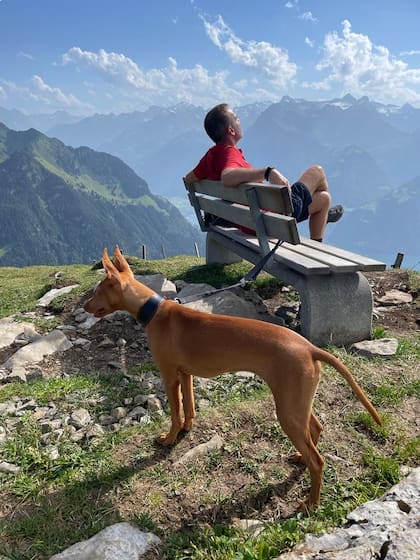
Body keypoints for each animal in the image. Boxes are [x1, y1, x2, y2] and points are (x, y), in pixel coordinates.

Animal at [83, 245, 382, 508]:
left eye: (97, 290)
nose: (85, 305)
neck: (155, 311)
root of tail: (309, 347)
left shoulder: (169, 375)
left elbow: (175, 413)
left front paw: (169, 439)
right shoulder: (186, 374)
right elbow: (190, 408)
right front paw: (187, 430)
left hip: (287, 409)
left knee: (318, 461)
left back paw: (311, 503)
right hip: (296, 402)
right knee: (316, 430)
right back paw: (300, 459)